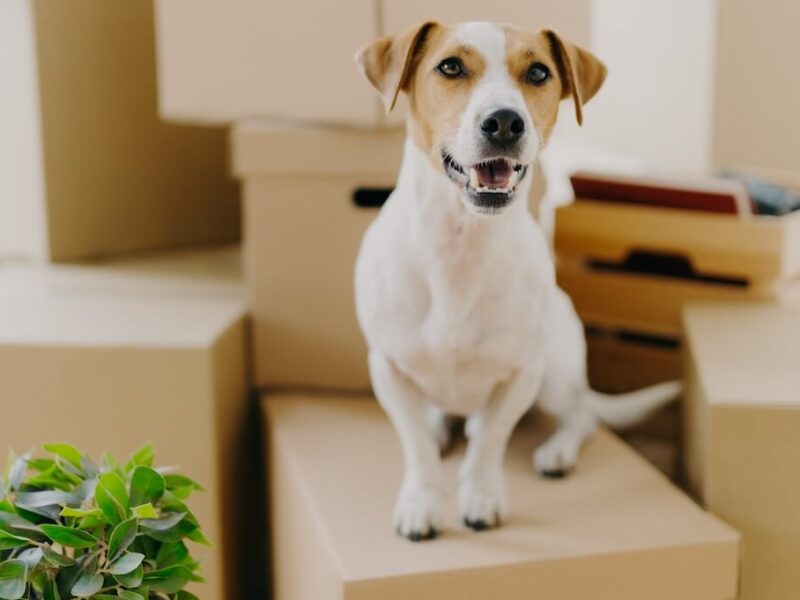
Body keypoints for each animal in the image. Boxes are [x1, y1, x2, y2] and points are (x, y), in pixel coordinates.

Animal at [354, 22, 680, 540]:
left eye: (539, 72)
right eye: (450, 66)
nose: (505, 122)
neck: (461, 242)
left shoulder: (523, 372)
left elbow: (490, 440)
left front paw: (481, 495)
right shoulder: (388, 368)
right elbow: (417, 447)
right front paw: (422, 499)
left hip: (555, 375)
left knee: (582, 416)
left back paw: (557, 449)